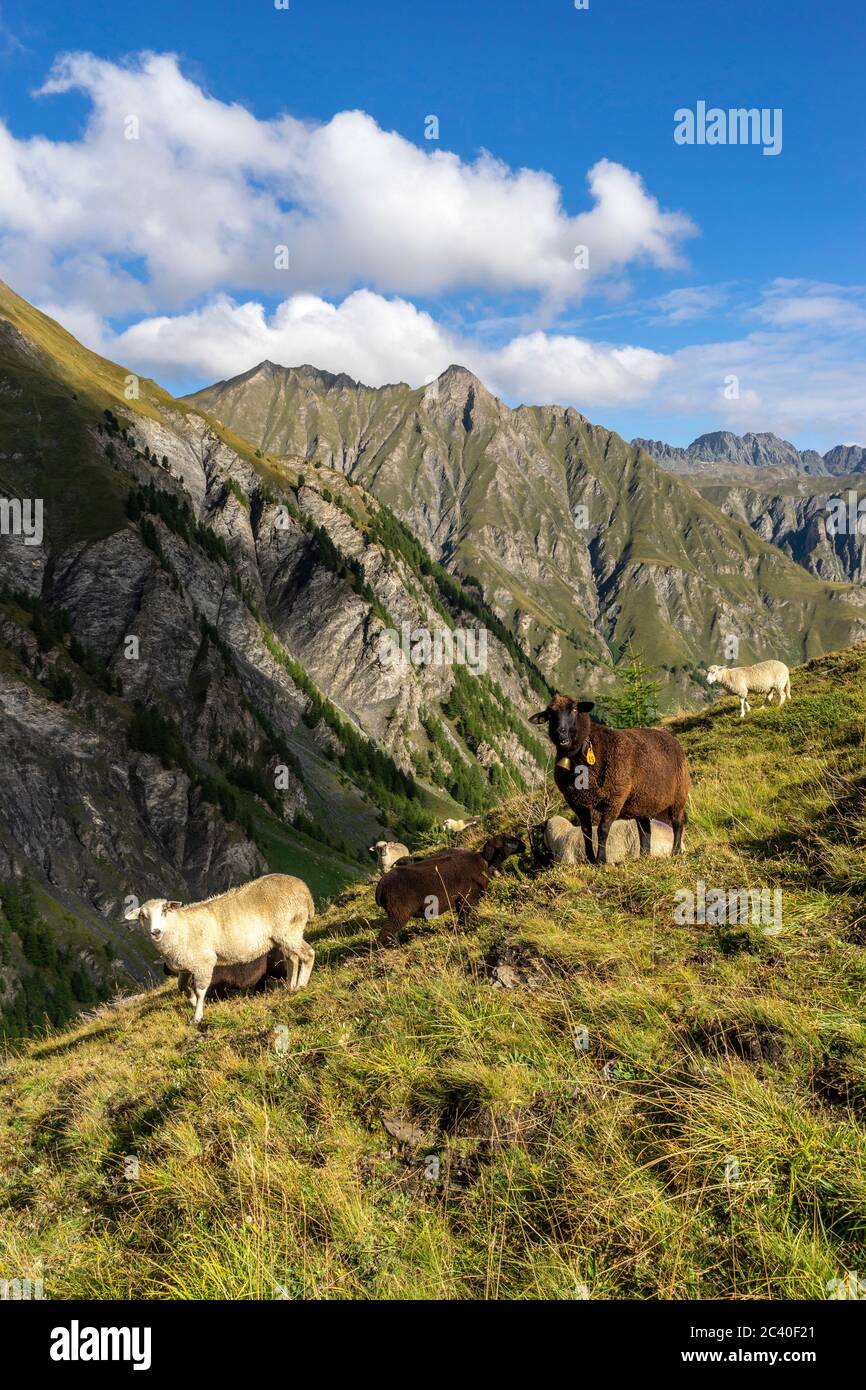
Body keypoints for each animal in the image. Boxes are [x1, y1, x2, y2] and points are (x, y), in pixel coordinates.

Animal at [123, 872, 316, 1028]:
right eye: (142, 916)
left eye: (164, 911)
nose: (155, 932)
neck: (181, 927)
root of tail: (304, 889)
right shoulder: (186, 966)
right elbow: (182, 987)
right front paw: (192, 1001)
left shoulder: (203, 963)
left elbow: (200, 990)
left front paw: (197, 1016)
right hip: (282, 936)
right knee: (292, 959)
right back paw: (290, 987)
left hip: (289, 929)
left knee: (308, 954)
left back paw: (301, 986)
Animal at [372, 828, 522, 950]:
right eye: (508, 842)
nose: (524, 845)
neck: (485, 862)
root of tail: (381, 886)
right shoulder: (467, 898)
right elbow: (464, 917)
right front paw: (467, 931)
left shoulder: (463, 899)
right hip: (399, 912)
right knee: (385, 933)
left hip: (395, 913)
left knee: (393, 933)